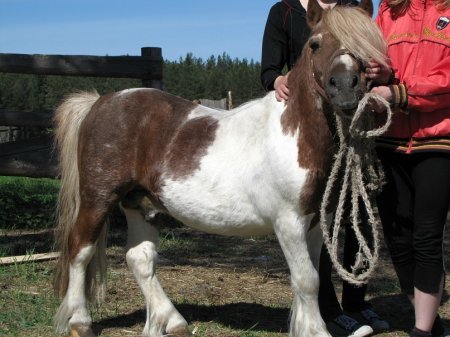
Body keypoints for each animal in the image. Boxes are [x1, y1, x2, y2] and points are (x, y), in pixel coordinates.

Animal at [53, 0, 386, 336]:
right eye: (315, 43)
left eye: (367, 43)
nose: (345, 87)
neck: (293, 134)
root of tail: (100, 102)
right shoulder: (288, 221)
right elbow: (307, 280)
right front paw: (317, 331)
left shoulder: (316, 220)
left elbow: (314, 279)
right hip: (98, 199)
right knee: (79, 250)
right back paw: (80, 322)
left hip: (140, 203)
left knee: (139, 258)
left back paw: (173, 321)